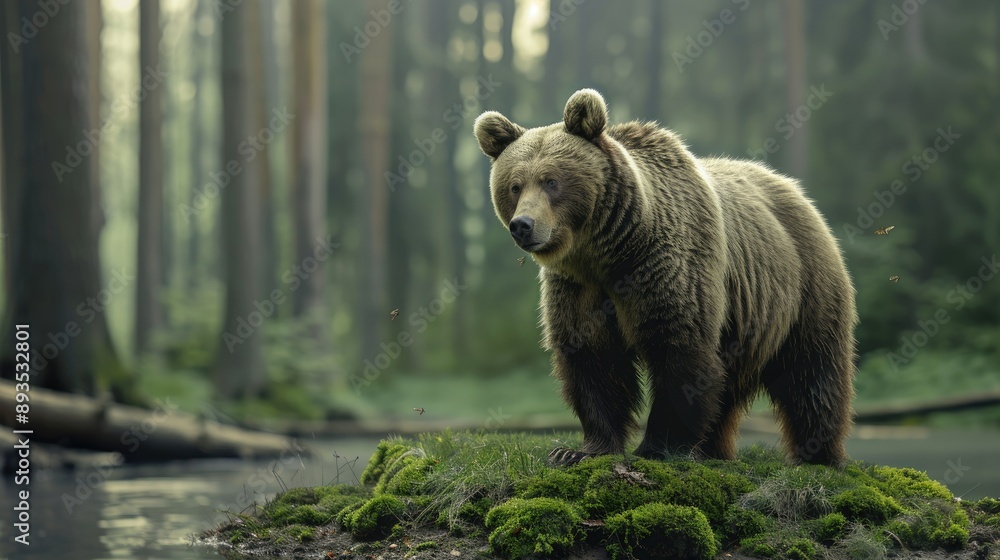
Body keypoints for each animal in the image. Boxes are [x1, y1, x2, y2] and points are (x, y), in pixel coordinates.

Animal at [473, 89, 857, 467]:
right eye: (514, 186)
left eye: (551, 181)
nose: (523, 225)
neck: (609, 250)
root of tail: (795, 189)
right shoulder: (578, 286)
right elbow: (592, 358)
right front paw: (577, 449)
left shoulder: (665, 266)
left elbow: (678, 348)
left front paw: (657, 447)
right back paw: (713, 450)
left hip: (804, 284)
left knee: (812, 372)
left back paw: (818, 454)